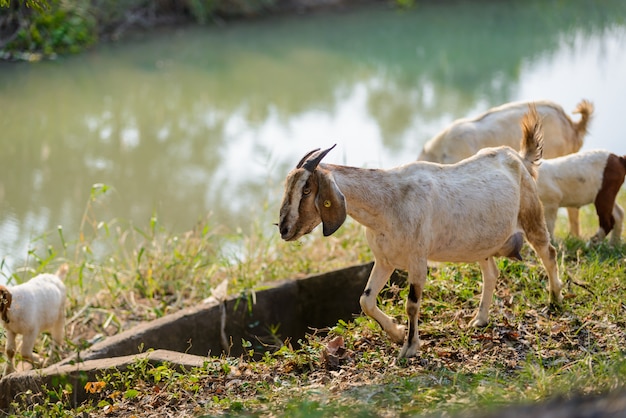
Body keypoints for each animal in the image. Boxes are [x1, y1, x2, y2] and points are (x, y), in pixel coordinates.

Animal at [278, 106, 560, 358]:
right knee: (491, 273)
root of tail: (519, 158)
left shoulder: (417, 259)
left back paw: (555, 300)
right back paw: (479, 320)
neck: (387, 202)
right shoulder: (385, 259)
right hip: (483, 242)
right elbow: (365, 300)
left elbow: (412, 304)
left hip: (532, 214)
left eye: (306, 190)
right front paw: (396, 333)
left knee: (549, 252)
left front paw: (410, 348)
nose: (284, 229)